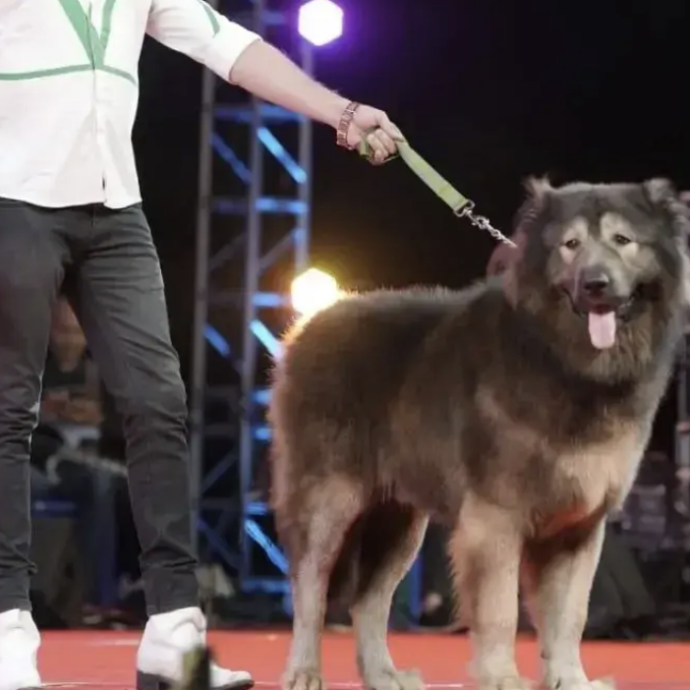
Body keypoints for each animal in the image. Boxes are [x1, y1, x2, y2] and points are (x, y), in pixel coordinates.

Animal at [268, 180, 688, 688]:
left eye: (623, 240)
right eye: (571, 245)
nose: (596, 283)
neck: (562, 359)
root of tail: (308, 326)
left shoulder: (579, 527)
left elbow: (570, 616)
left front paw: (569, 679)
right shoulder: (495, 519)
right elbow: (500, 611)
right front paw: (501, 677)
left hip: (398, 521)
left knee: (368, 601)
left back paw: (385, 675)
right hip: (329, 503)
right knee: (309, 589)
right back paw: (304, 671)